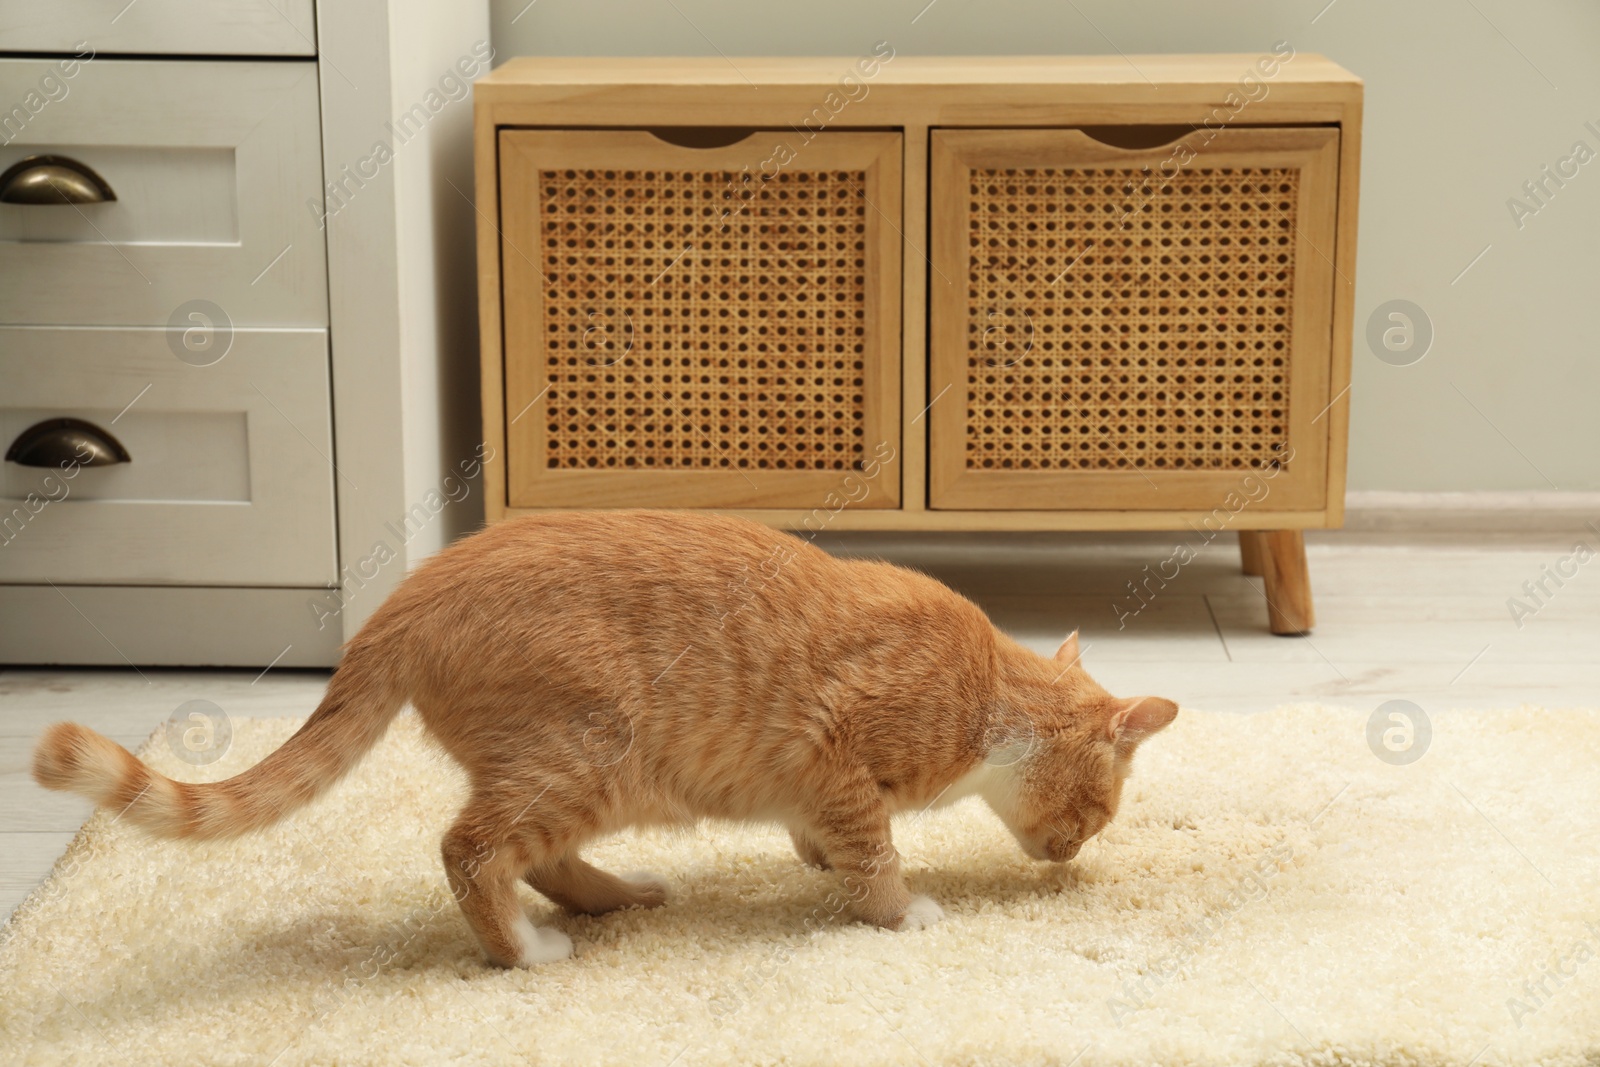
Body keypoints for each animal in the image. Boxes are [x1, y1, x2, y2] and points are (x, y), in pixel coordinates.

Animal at [34, 511, 1177, 972]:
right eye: (1099, 810)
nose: (1069, 856)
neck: (987, 695)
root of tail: (410, 590)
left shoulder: (816, 784)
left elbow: (825, 839)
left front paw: (815, 862)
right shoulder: (843, 756)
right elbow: (876, 857)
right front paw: (901, 910)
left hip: (588, 775)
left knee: (539, 857)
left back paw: (616, 895)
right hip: (590, 758)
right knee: (474, 850)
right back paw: (523, 950)